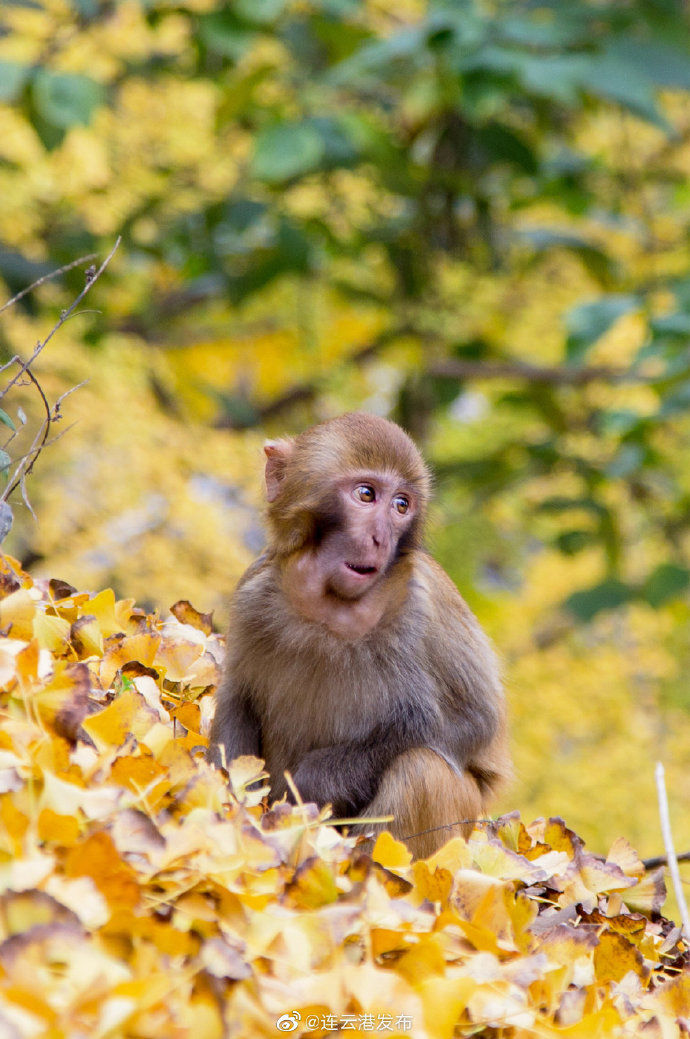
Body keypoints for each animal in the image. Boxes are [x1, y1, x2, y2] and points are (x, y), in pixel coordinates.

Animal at [207, 409, 509, 856]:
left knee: (423, 768)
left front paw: (313, 781)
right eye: (366, 495)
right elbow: (237, 700)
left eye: (401, 505)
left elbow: (467, 727)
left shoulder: (427, 604)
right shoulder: (253, 589)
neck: (332, 607)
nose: (380, 538)